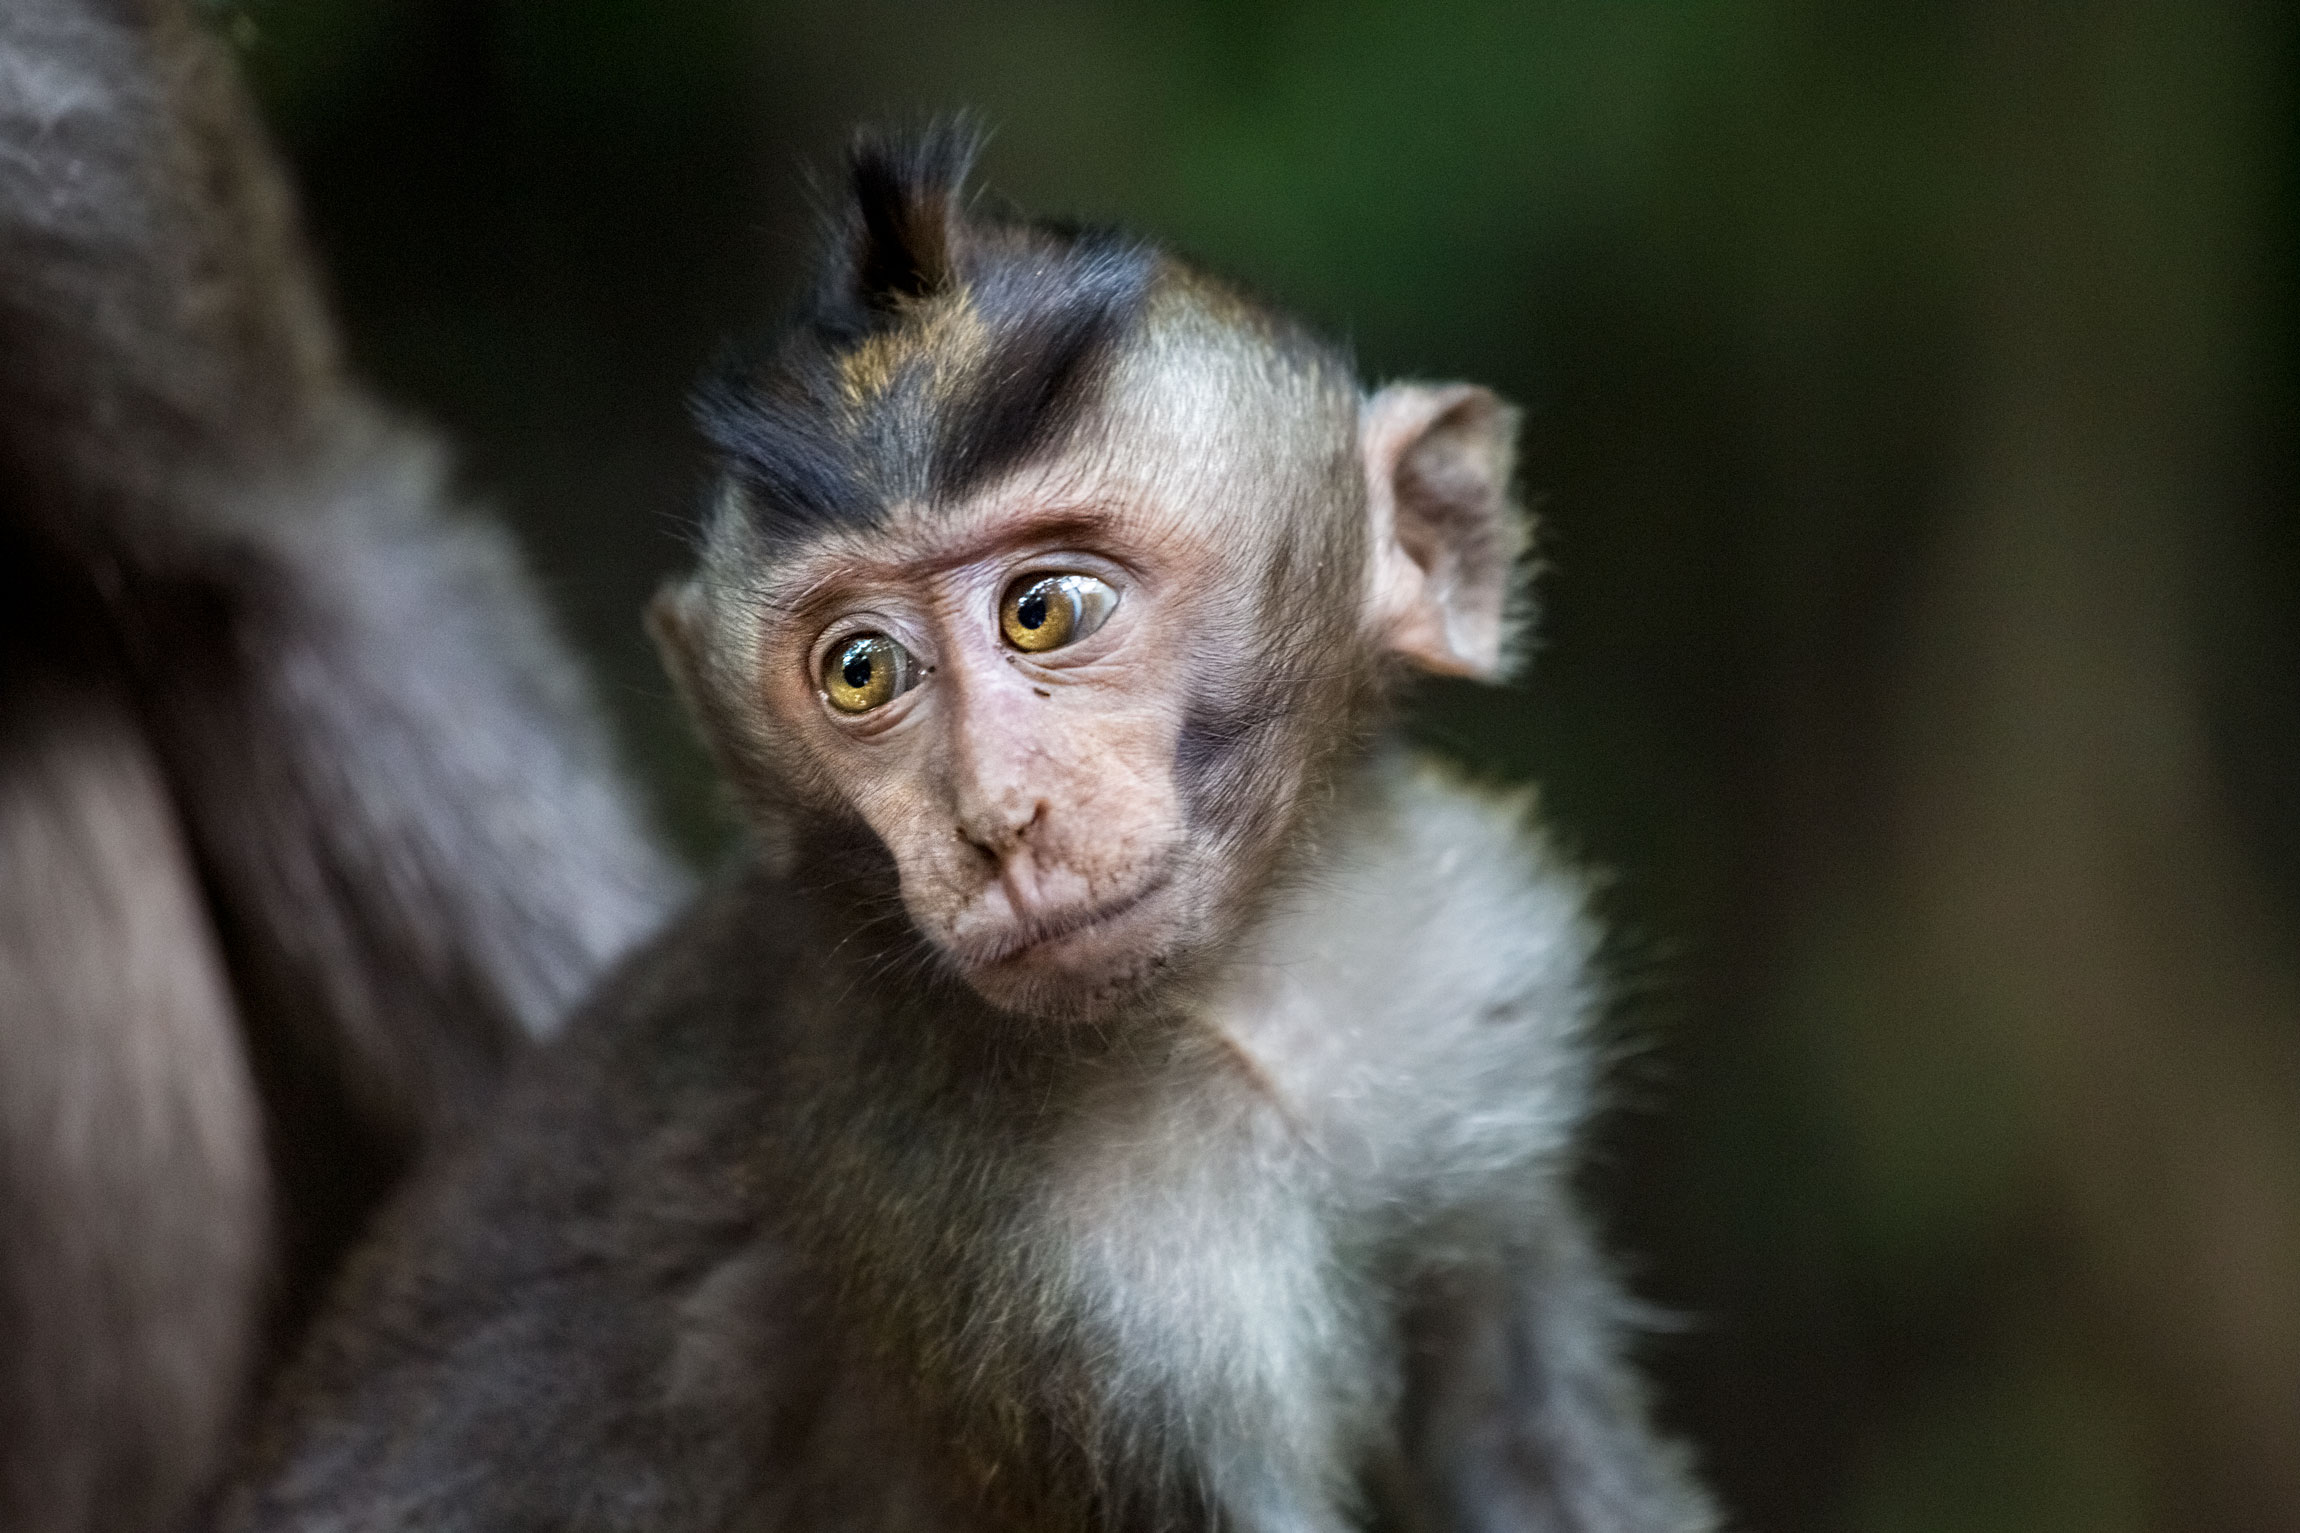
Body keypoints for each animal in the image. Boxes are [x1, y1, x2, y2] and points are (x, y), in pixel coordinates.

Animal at [218, 125, 1718, 1533]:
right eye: (860, 671)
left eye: (1044, 609)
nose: (996, 821)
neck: (1245, 987)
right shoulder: (1044, 1274)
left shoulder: (1481, 989)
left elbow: (1532, 1429)